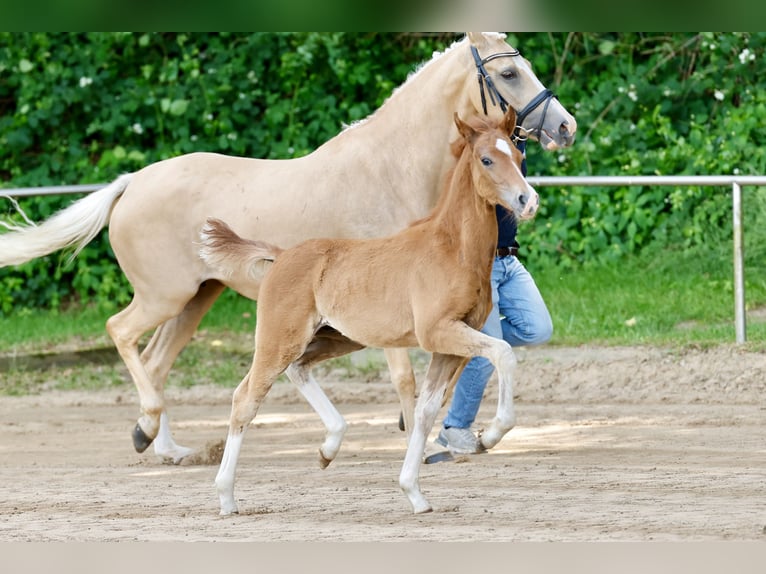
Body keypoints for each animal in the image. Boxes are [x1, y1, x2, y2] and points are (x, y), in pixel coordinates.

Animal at [0, 32, 576, 464]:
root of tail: (132, 183)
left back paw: (167, 447)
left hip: (195, 300)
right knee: (121, 333)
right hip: (165, 297)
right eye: (509, 74)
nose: (565, 126)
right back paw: (148, 429)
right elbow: (405, 377)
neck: (390, 170)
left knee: (157, 361)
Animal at [199, 106, 537, 514]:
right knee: (246, 398)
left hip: (337, 339)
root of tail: (281, 255)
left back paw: (328, 448)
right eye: (487, 159)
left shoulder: (449, 344)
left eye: (517, 156)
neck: (453, 249)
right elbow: (503, 354)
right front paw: (491, 434)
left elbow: (425, 411)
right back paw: (226, 496)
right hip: (279, 339)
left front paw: (414, 493)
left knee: (298, 369)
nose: (527, 200)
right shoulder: (438, 332)